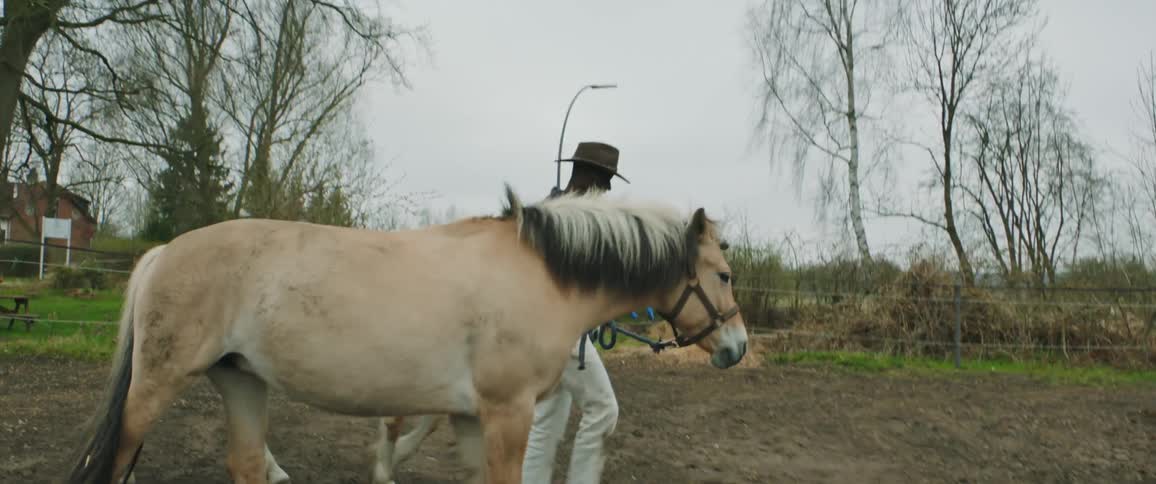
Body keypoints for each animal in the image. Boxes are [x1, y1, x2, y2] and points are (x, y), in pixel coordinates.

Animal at [64, 184, 748, 484]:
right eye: (723, 273)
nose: (737, 346)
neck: (539, 275)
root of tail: (163, 253)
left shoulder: (472, 418)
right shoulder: (507, 413)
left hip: (242, 381)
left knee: (247, 462)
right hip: (157, 383)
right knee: (119, 457)